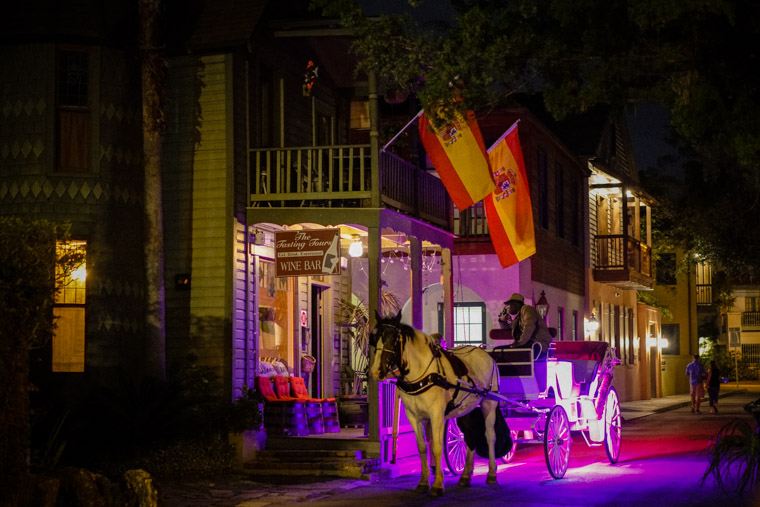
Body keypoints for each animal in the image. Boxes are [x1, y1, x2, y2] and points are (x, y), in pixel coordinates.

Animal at [370, 310, 502, 496]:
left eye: (394, 338)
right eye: (375, 337)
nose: (376, 371)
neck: (421, 373)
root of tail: (486, 354)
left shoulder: (437, 414)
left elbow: (437, 447)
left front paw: (438, 484)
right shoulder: (414, 416)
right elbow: (422, 448)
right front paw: (424, 482)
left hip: (489, 402)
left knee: (489, 435)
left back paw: (491, 473)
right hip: (466, 410)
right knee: (470, 436)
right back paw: (465, 476)